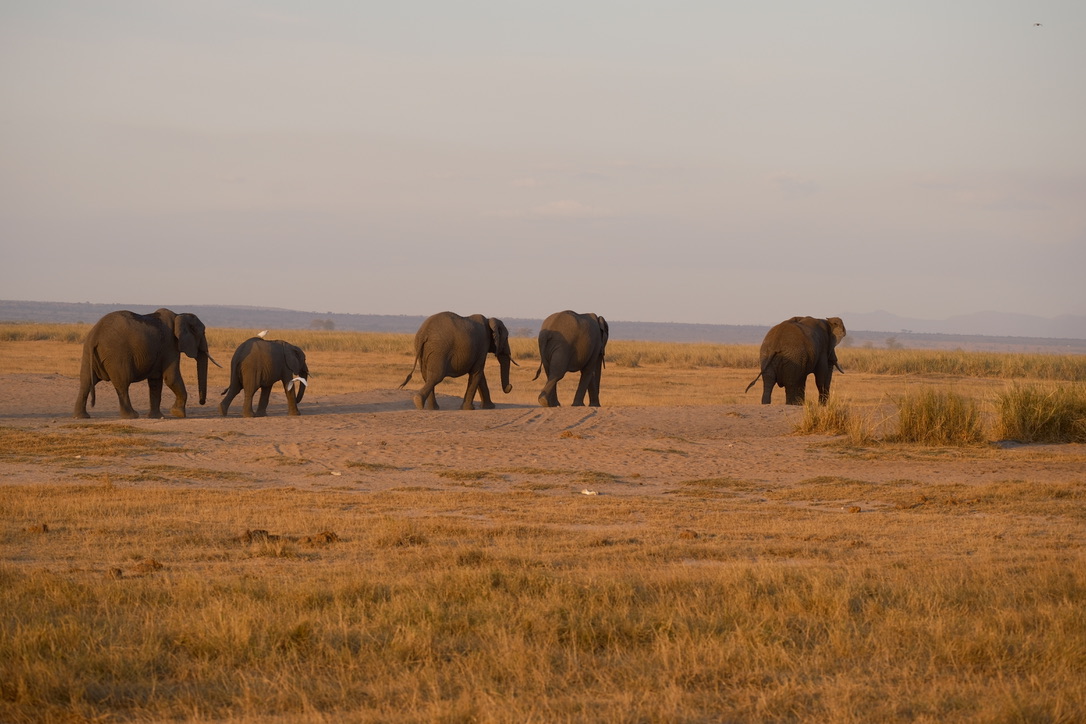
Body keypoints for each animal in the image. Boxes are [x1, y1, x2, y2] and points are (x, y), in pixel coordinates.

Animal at [73, 308, 217, 419]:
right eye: (203, 332)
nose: (201, 402)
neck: (179, 315)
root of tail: (95, 334)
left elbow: (155, 381)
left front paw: (156, 416)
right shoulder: (170, 346)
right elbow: (171, 377)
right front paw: (178, 414)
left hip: (88, 353)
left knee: (86, 382)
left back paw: (81, 416)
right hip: (116, 355)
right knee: (122, 383)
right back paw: (132, 416)